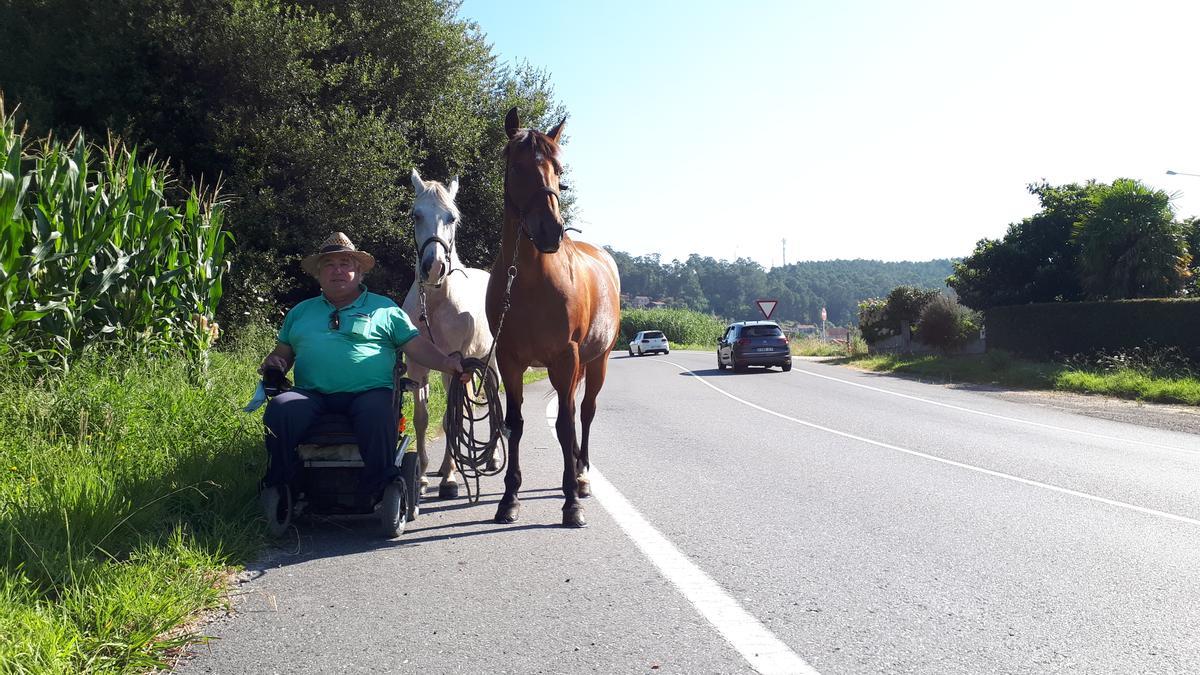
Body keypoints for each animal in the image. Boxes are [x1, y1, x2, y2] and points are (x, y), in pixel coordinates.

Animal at [403, 166, 496, 497]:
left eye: (452, 217)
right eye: (415, 215)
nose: (433, 267)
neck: (436, 302)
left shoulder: (455, 366)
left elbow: (450, 418)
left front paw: (451, 479)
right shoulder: (417, 366)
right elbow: (422, 418)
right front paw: (421, 477)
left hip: (491, 360)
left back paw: (491, 459)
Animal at [484, 107, 624, 526]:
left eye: (558, 169)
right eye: (517, 166)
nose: (550, 230)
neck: (530, 280)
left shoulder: (566, 358)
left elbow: (565, 423)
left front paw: (571, 503)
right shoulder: (509, 360)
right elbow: (514, 424)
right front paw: (509, 498)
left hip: (596, 361)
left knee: (585, 412)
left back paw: (582, 475)